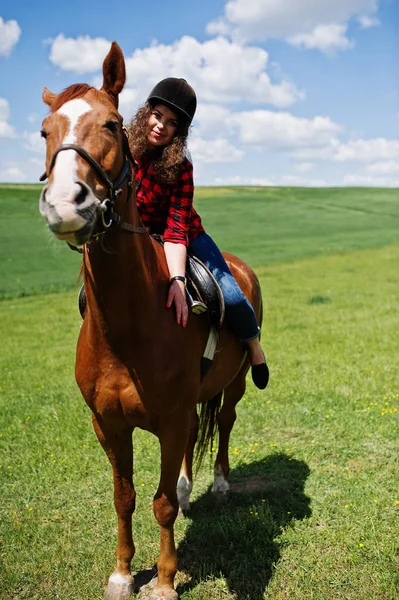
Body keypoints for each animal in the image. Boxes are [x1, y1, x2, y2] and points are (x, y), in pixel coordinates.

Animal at [39, 39, 264, 596]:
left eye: (112, 124)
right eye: (45, 131)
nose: (65, 203)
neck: (128, 328)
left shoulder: (169, 418)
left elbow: (159, 505)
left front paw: (164, 580)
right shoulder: (108, 425)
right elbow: (125, 497)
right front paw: (122, 573)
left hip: (234, 385)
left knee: (224, 422)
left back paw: (220, 483)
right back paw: (188, 490)